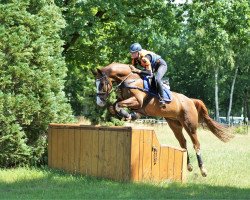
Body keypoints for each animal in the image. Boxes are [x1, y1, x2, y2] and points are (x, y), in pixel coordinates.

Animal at [93, 62, 233, 177]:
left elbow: (117, 105)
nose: (99, 102)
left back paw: (203, 170)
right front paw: (127, 115)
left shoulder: (137, 101)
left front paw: (127, 115)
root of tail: (191, 100)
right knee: (183, 143)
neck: (130, 79)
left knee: (196, 144)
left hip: (190, 125)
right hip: (174, 125)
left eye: (102, 84)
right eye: (96, 84)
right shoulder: (127, 101)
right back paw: (188, 166)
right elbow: (113, 106)